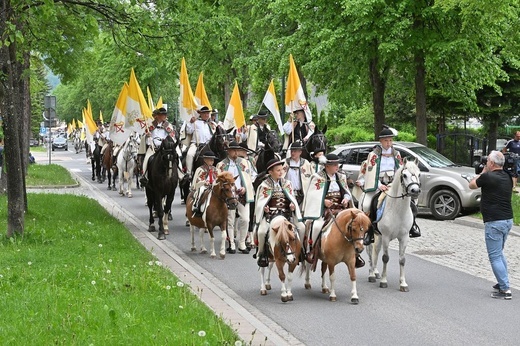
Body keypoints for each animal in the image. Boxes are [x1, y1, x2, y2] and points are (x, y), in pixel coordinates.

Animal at [368, 157, 420, 292]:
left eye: (419, 174)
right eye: (405, 175)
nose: (415, 191)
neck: (398, 211)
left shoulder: (404, 237)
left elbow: (402, 260)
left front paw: (403, 284)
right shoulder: (386, 236)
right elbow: (385, 258)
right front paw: (383, 281)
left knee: (375, 250)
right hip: (376, 235)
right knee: (372, 251)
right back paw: (372, 274)